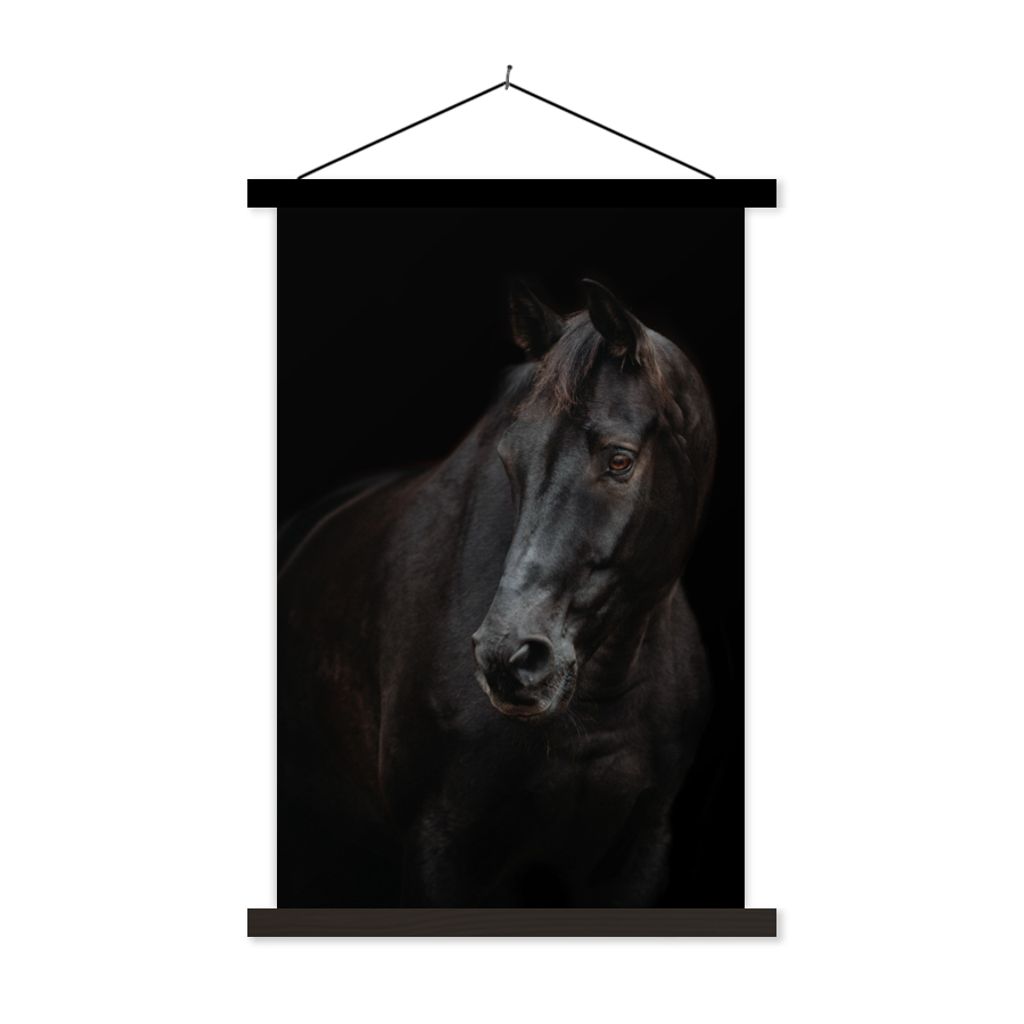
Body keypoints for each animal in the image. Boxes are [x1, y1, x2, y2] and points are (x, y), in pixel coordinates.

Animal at [277, 279, 718, 907]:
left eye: (620, 459)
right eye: (510, 460)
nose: (507, 658)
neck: (595, 708)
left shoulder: (638, 852)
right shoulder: (444, 850)